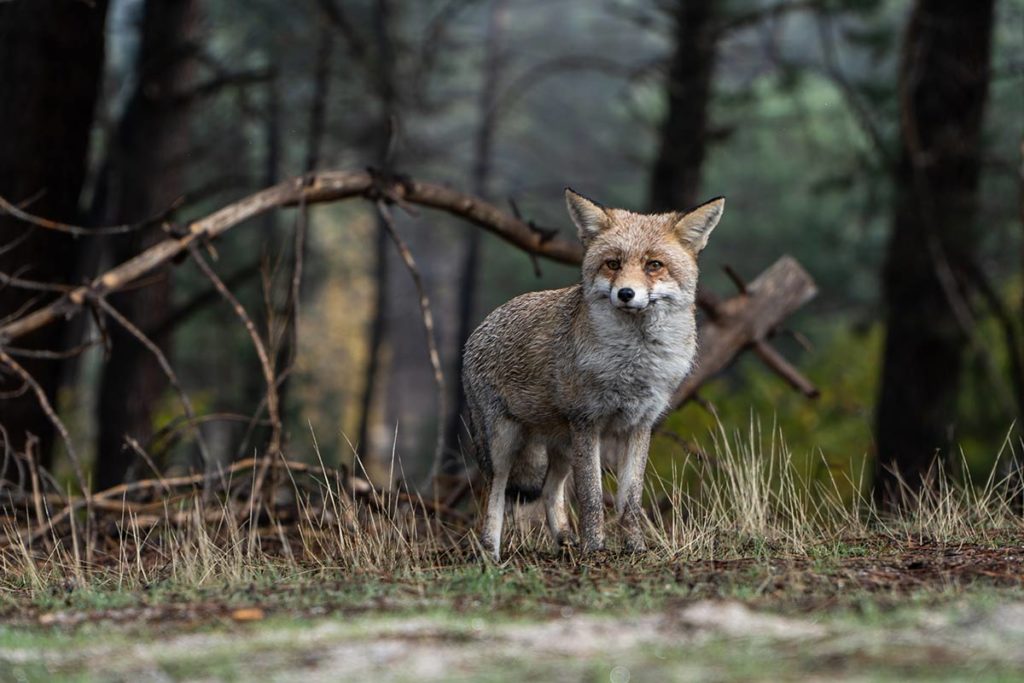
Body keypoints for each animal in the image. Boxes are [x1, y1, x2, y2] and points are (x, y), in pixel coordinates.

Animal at [462, 188, 724, 559]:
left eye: (653, 265)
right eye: (613, 263)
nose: (626, 293)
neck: (634, 364)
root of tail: (482, 324)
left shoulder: (639, 425)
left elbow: (630, 501)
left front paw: (634, 549)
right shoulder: (588, 422)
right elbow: (592, 497)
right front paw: (596, 549)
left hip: (561, 446)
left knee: (549, 490)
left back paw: (565, 540)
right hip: (503, 444)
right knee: (494, 493)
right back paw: (490, 552)